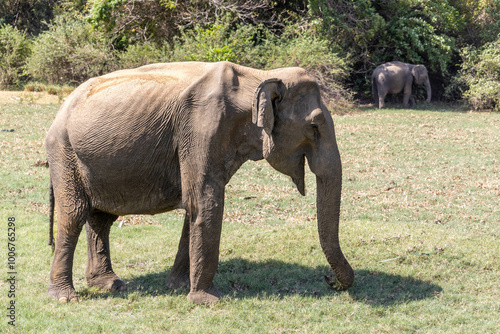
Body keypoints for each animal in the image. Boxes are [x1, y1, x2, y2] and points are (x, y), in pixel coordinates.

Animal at [45, 60, 354, 306]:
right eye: (314, 127)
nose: (328, 279)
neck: (260, 76)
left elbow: (194, 204)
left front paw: (180, 287)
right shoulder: (201, 127)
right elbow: (205, 200)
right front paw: (208, 300)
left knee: (101, 218)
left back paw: (111, 285)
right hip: (64, 152)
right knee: (73, 215)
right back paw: (65, 297)